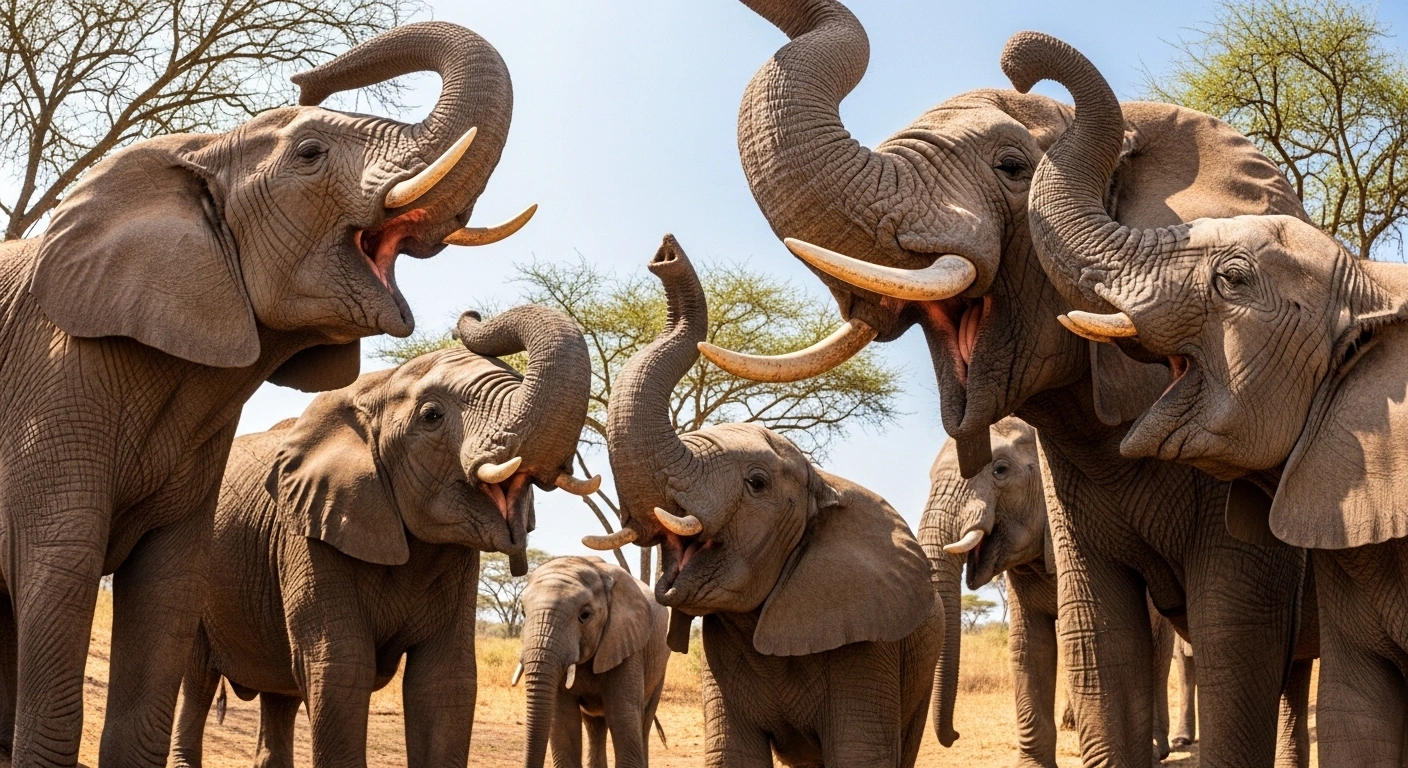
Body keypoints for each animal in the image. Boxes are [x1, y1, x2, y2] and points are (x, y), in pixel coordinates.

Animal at [0, 20, 538, 765]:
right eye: (311, 153)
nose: (307, 78)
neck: (194, 153)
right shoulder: (54, 380)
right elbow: (60, 569)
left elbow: (165, 590)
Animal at [167, 304, 595, 768]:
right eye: (432, 416)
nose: (470, 315)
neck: (377, 386)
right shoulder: (309, 534)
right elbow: (339, 667)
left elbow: (445, 680)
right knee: (196, 677)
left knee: (280, 695)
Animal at [514, 556, 670, 768]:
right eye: (523, 612)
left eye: (585, 615)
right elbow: (563, 721)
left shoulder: (628, 645)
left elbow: (623, 718)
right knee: (595, 725)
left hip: (660, 668)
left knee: (644, 720)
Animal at [582, 235, 941, 767]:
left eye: (756, 483)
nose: (666, 252)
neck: (821, 484)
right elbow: (733, 754)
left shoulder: (870, 637)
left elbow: (860, 753)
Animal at [922, 416, 1183, 767]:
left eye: (1000, 470)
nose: (955, 735)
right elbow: (1029, 645)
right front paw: (1033, 765)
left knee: (1157, 650)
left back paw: (1156, 750)